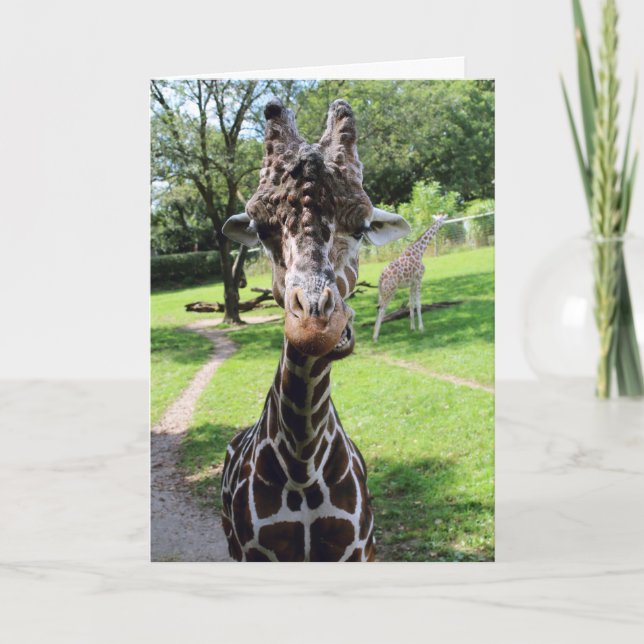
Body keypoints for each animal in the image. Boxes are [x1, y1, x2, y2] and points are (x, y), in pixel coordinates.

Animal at [220, 98, 410, 561]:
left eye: (362, 228)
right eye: (262, 230)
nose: (315, 326)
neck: (302, 464)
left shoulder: (359, 550)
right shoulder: (253, 553)